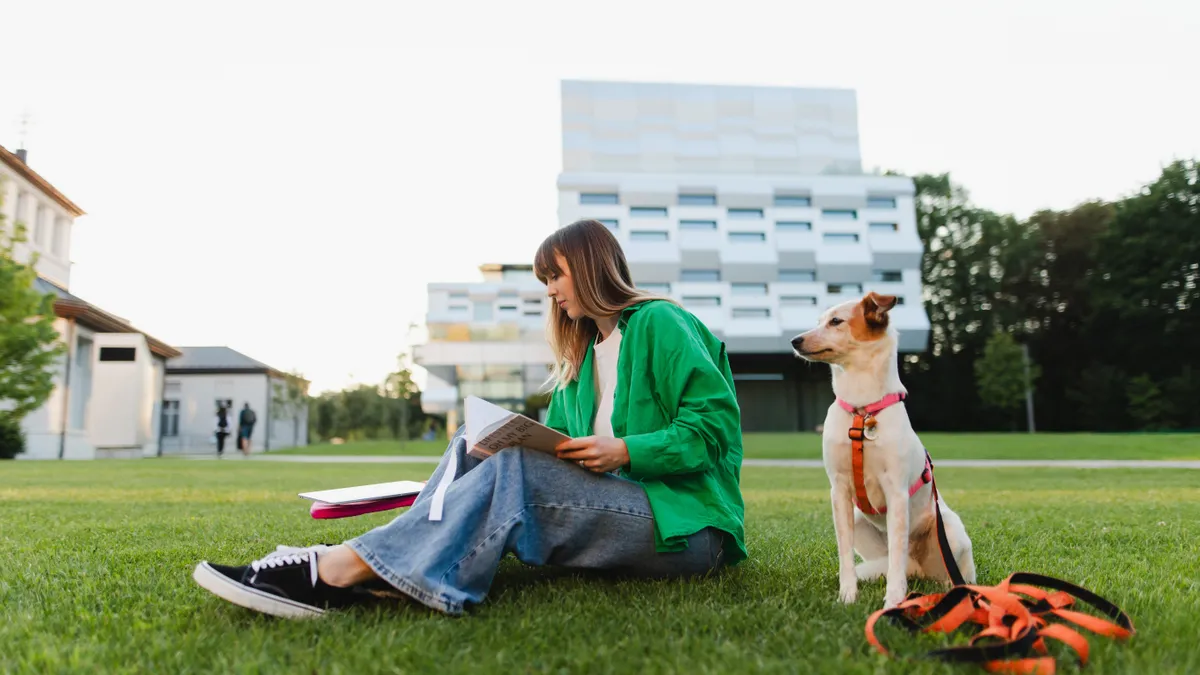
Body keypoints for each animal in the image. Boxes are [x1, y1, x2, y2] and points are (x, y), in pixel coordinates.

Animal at [796, 291, 974, 607]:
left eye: (836, 321)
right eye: (818, 321)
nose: (795, 341)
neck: (862, 409)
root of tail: (918, 568)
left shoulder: (896, 492)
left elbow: (896, 562)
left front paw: (893, 602)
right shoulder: (839, 492)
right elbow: (845, 556)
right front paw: (847, 596)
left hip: (951, 531)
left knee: (950, 573)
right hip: (859, 519)